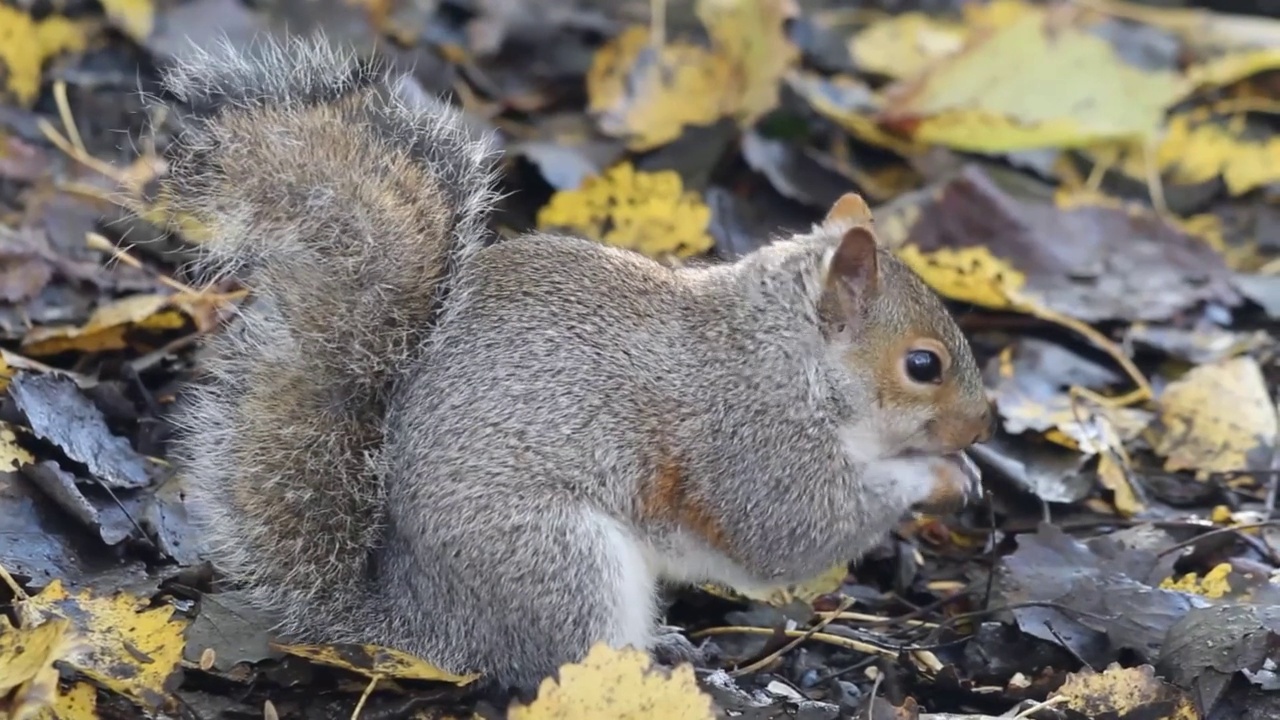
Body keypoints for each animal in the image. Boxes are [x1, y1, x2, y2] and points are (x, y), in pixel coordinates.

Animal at [160, 35, 993, 691]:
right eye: (924, 365)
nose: (982, 427)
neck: (785, 355)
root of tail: (419, 624)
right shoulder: (747, 437)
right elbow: (790, 529)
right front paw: (934, 477)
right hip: (559, 559)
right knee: (560, 661)